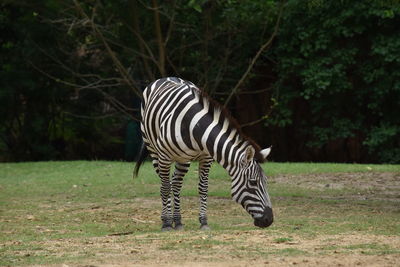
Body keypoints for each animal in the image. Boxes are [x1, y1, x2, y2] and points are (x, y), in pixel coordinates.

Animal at [133, 77, 274, 230]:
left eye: (266, 182)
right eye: (253, 182)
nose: (269, 220)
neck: (195, 127)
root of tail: (166, 77)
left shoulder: (206, 158)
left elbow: (203, 188)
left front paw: (204, 222)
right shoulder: (164, 156)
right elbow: (165, 188)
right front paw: (166, 223)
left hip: (184, 159)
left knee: (176, 183)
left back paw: (178, 221)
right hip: (154, 150)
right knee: (165, 184)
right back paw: (168, 219)